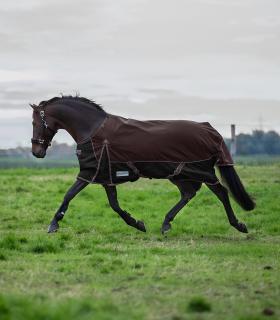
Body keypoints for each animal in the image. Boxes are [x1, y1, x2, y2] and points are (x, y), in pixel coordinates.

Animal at [30, 96, 256, 234]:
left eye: (34, 123)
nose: (36, 152)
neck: (93, 130)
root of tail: (210, 130)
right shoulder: (105, 176)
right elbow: (114, 204)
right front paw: (137, 223)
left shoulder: (89, 172)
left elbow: (69, 194)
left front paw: (53, 224)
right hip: (180, 174)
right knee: (188, 194)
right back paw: (166, 224)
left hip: (202, 171)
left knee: (221, 193)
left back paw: (238, 225)